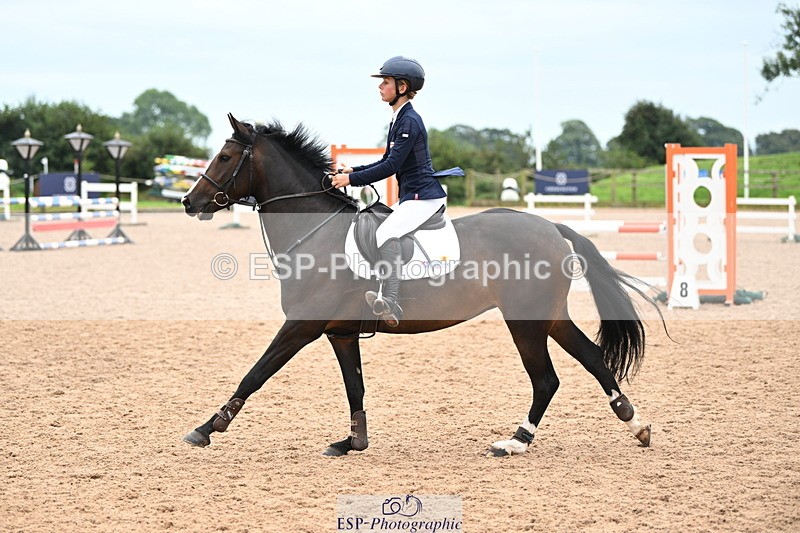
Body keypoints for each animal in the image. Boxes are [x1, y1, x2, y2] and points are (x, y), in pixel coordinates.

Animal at [180, 114, 660, 456]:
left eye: (225, 158)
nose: (188, 201)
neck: (316, 230)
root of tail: (551, 227)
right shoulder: (340, 333)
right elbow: (354, 386)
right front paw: (353, 442)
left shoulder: (302, 325)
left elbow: (255, 374)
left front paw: (207, 428)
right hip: (550, 316)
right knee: (593, 359)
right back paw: (636, 425)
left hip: (525, 320)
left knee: (546, 379)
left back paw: (515, 441)